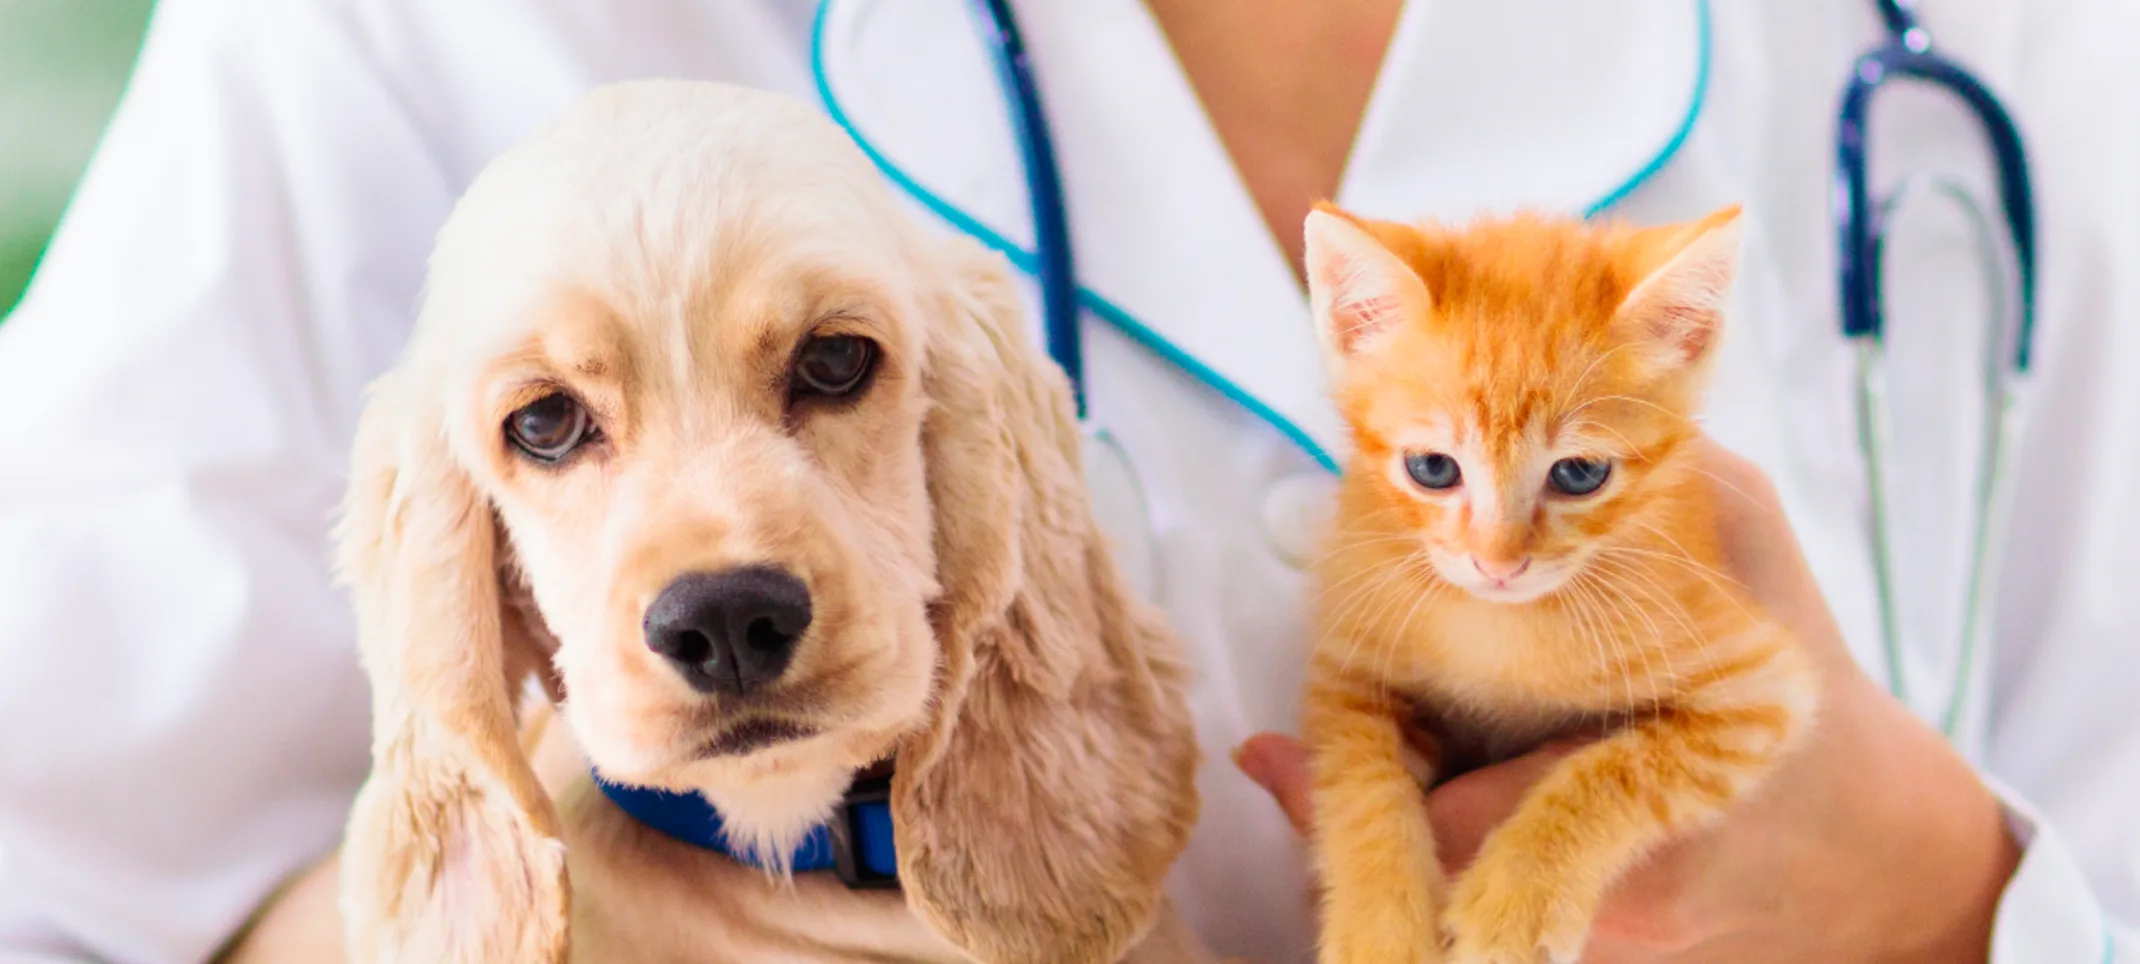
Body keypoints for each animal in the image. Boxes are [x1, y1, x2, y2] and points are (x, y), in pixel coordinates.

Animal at [1292, 205, 1814, 964]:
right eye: (1431, 468)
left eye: (1579, 474)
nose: (1498, 564)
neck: (1500, 627)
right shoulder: (1348, 666)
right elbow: (1359, 785)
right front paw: (1379, 928)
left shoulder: (1761, 689)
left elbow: (1620, 772)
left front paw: (1519, 904)